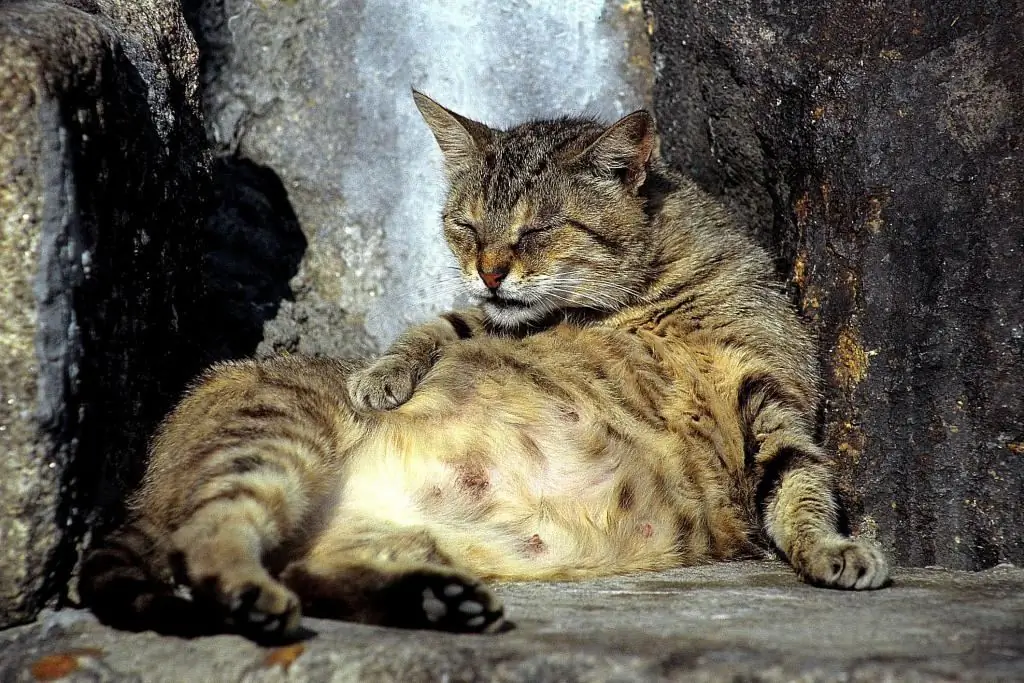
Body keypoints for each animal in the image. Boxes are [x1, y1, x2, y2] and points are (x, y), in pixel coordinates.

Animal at [79, 89, 888, 643]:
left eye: (538, 229)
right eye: (465, 225)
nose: (490, 270)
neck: (652, 292)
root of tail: (144, 480)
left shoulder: (772, 397)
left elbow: (801, 489)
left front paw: (833, 549)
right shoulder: (496, 316)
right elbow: (444, 323)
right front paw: (385, 370)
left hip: (378, 528)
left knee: (306, 570)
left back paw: (433, 601)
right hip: (273, 441)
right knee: (210, 537)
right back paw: (256, 596)